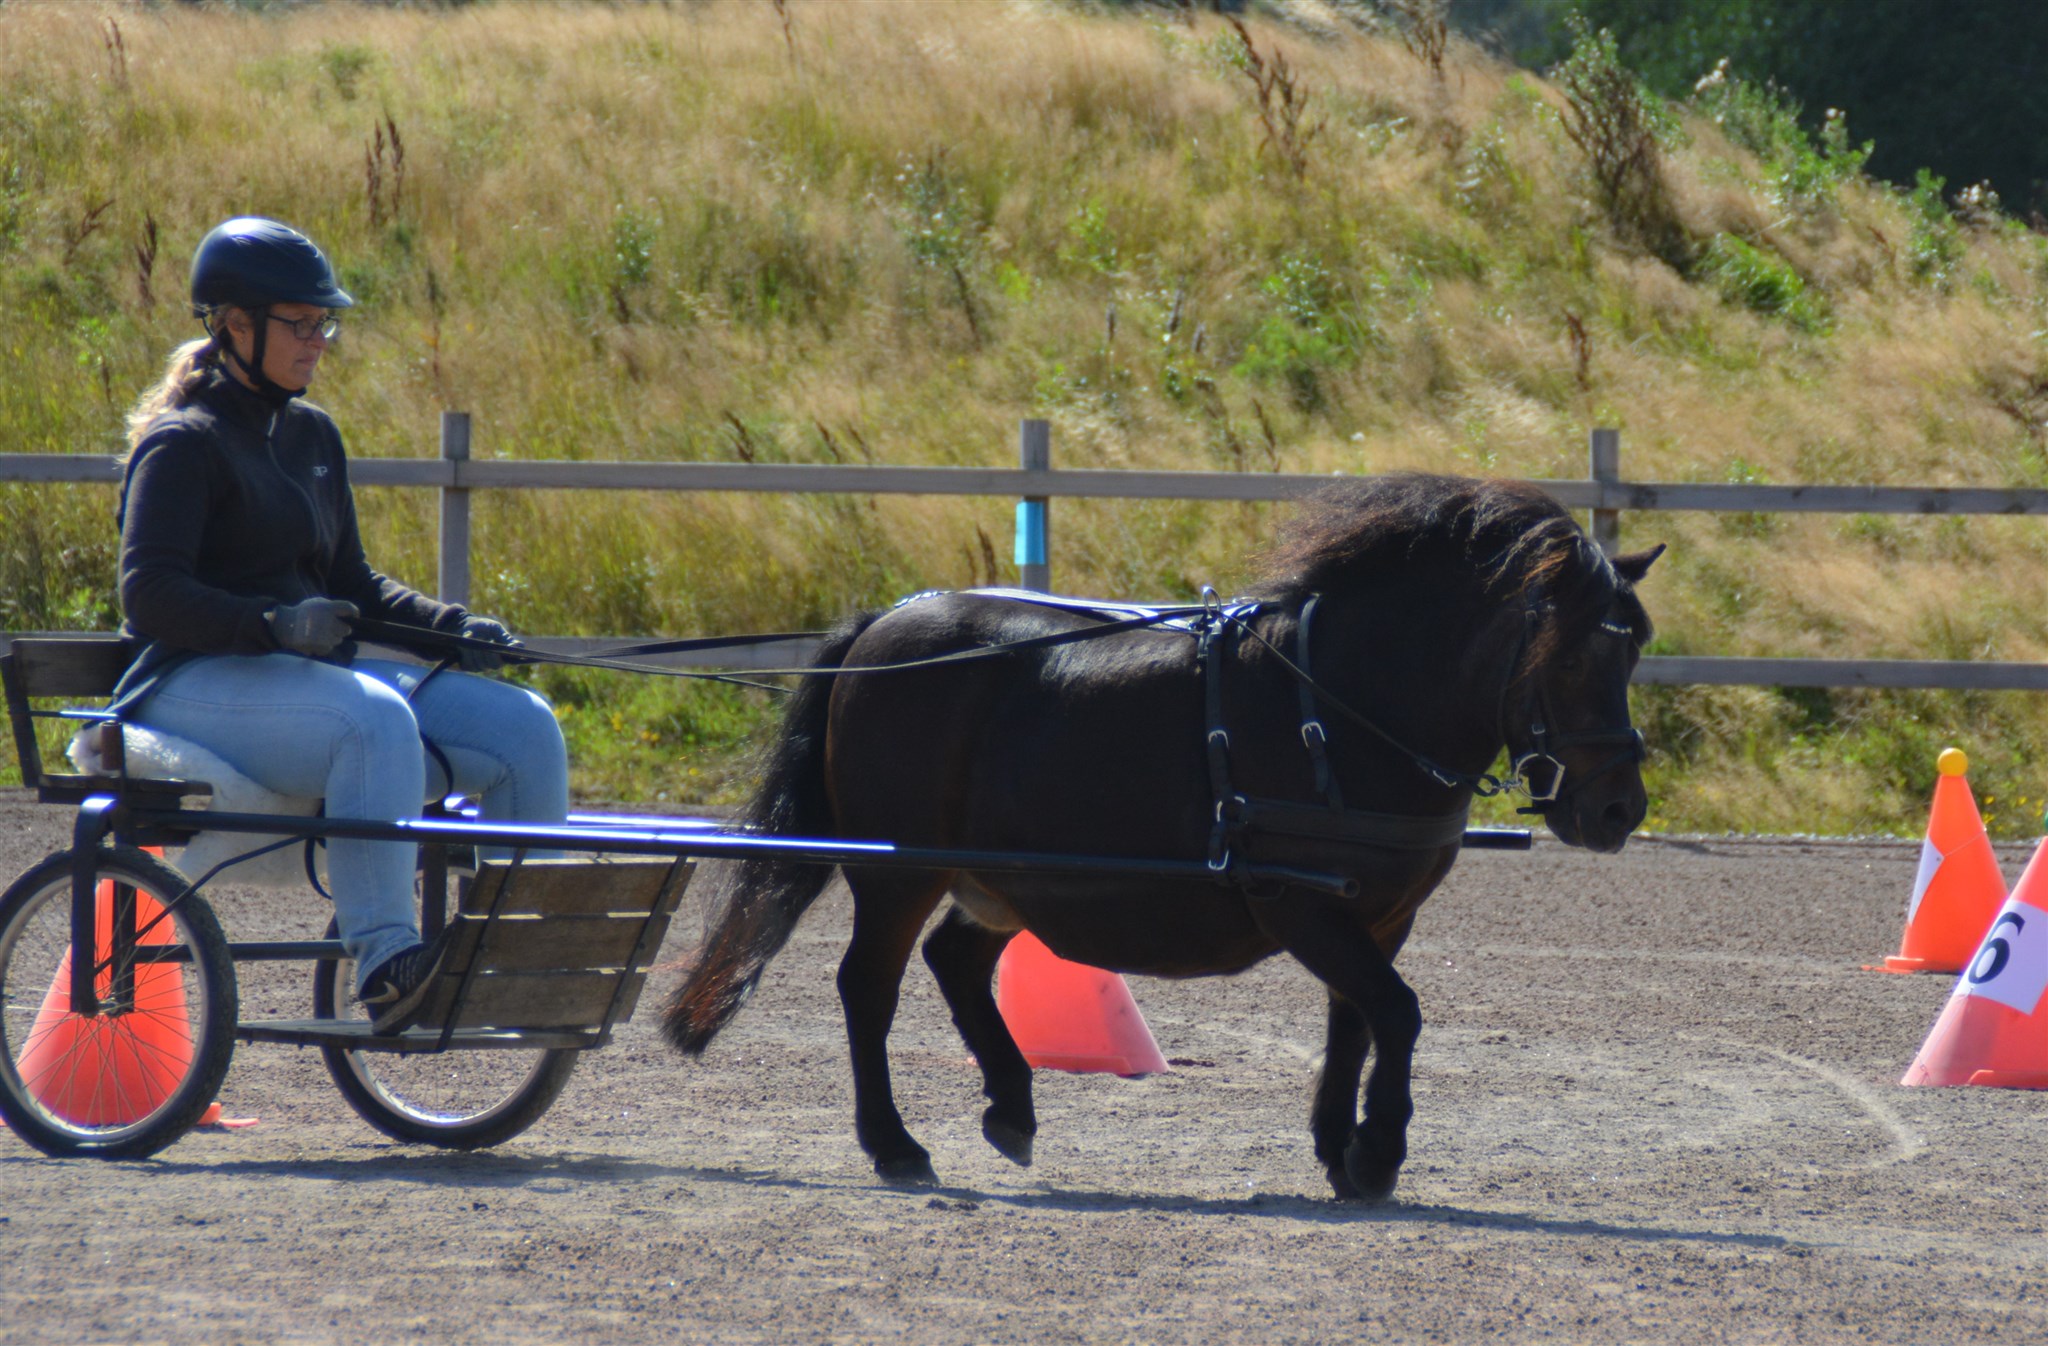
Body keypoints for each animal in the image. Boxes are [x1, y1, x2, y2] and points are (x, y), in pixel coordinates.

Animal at [663, 475, 1654, 1196]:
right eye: (1570, 653)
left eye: (1636, 645)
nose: (1620, 810)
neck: (1340, 708)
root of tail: (889, 618)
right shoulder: (1300, 904)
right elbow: (1397, 1014)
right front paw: (1377, 1153)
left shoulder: (1377, 916)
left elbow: (1357, 1019)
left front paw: (1340, 1148)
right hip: (900, 874)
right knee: (868, 987)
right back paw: (896, 1145)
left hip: (1003, 879)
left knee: (956, 963)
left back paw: (1012, 1108)